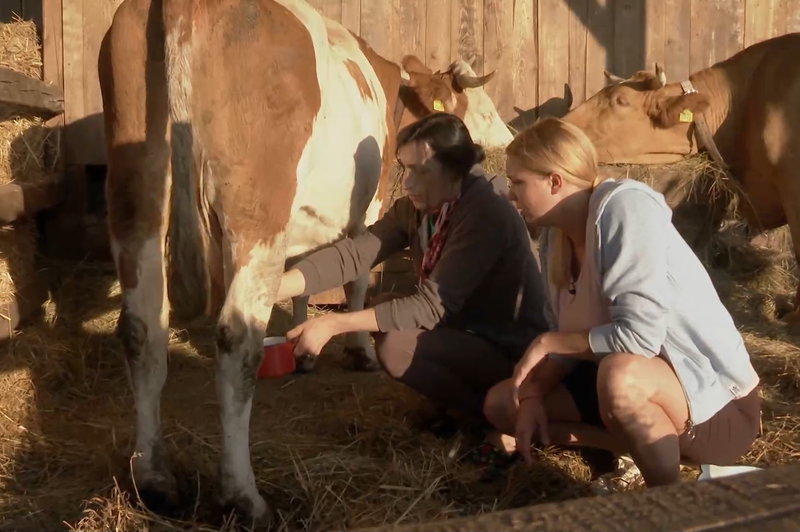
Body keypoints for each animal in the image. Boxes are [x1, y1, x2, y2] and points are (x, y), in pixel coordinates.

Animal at [97, 0, 504, 524]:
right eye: (484, 109)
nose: (507, 138)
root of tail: (185, 5)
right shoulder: (367, 207)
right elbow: (356, 279)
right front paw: (359, 351)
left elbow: (307, 273)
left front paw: (302, 348)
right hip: (255, 209)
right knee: (236, 338)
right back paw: (243, 496)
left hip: (136, 194)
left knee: (142, 330)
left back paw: (153, 480)